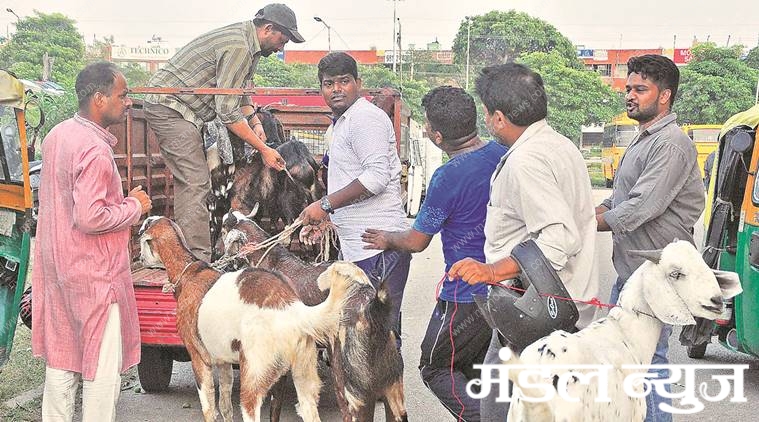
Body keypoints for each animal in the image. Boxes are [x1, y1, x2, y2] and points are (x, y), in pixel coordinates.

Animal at [140, 216, 374, 420]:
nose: (140, 258)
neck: (189, 272)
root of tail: (292, 309)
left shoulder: (200, 360)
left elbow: (209, 410)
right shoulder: (224, 362)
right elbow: (225, 407)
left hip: (258, 378)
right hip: (303, 376)